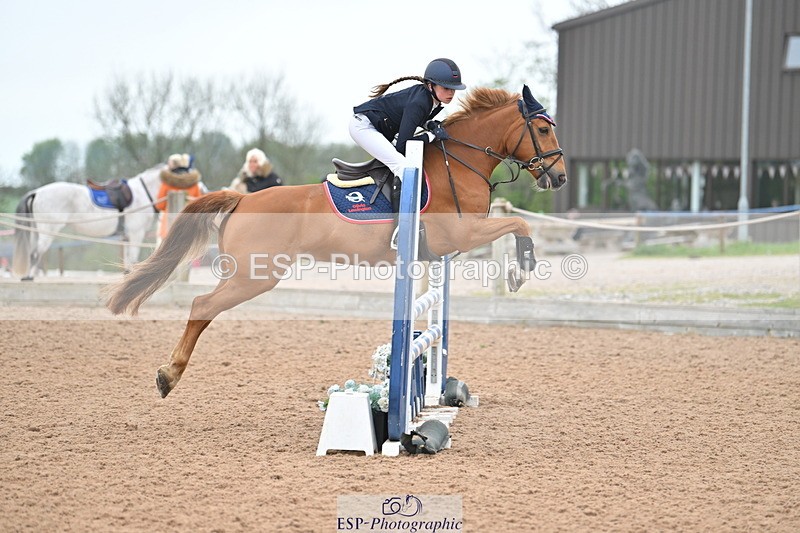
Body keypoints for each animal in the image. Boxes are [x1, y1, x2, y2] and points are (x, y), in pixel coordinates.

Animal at [12, 164, 163, 280]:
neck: (143, 193)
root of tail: (36, 192)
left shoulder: (127, 237)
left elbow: (127, 261)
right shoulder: (136, 234)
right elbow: (133, 259)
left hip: (36, 232)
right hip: (47, 232)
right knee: (35, 254)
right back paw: (29, 277)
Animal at [105, 85, 567, 399]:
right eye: (543, 129)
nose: (559, 177)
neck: (461, 163)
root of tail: (244, 198)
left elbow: (513, 229)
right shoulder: (462, 233)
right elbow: (519, 227)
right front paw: (521, 271)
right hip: (256, 275)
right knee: (202, 306)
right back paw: (168, 376)